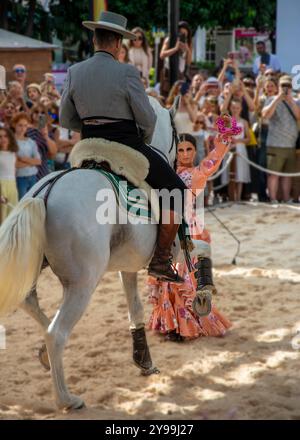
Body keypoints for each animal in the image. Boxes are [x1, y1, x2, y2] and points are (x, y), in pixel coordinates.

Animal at [0, 95, 210, 410]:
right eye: (176, 134)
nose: (180, 159)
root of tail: (45, 192)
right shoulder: (175, 251)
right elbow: (201, 252)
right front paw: (204, 294)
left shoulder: (129, 265)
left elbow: (135, 308)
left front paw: (144, 361)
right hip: (82, 283)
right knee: (56, 333)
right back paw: (67, 399)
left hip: (39, 269)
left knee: (31, 304)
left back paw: (44, 356)